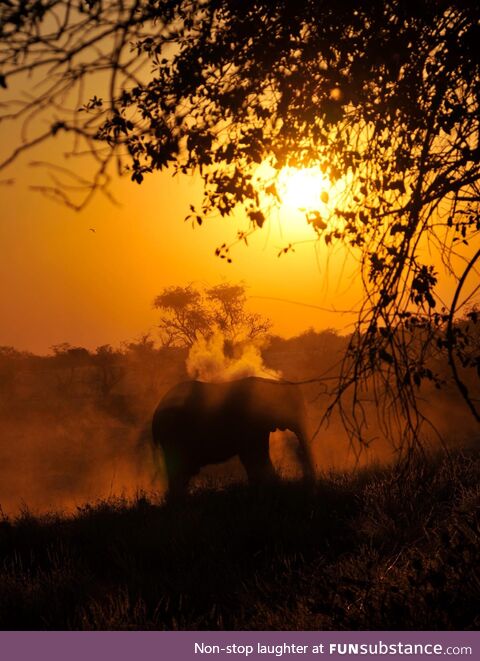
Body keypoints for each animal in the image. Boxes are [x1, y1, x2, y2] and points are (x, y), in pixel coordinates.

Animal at [151, 376, 316, 496]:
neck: (272, 384)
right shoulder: (249, 422)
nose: (309, 483)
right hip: (174, 435)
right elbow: (254, 455)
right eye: (293, 408)